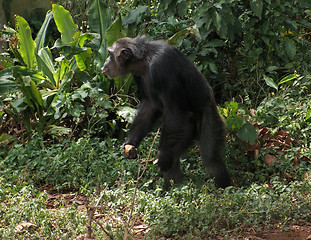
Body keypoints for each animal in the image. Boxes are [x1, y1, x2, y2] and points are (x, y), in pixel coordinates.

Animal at [102, 36, 232, 189]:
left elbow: (176, 113)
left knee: (211, 160)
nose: (105, 63)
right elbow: (150, 106)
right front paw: (130, 143)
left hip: (207, 116)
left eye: (110, 54)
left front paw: (162, 157)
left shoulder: (161, 67)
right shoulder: (138, 76)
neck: (144, 60)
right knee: (175, 158)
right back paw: (176, 189)